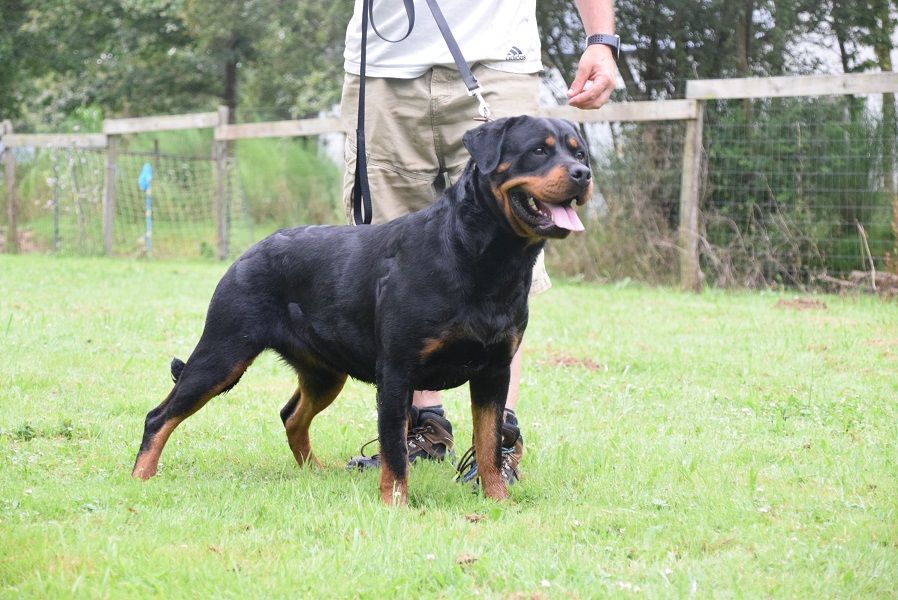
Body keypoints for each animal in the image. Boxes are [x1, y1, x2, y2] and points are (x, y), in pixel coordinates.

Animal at [131, 115, 588, 504]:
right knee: (159, 415)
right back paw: (140, 478)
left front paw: (497, 501)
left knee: (291, 416)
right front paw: (396, 504)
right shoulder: (398, 371)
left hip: (323, 372)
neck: (480, 257)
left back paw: (315, 472)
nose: (583, 174)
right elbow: (395, 451)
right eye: (539, 151)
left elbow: (490, 443)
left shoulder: (494, 370)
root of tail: (249, 251)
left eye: (578, 153)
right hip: (223, 352)